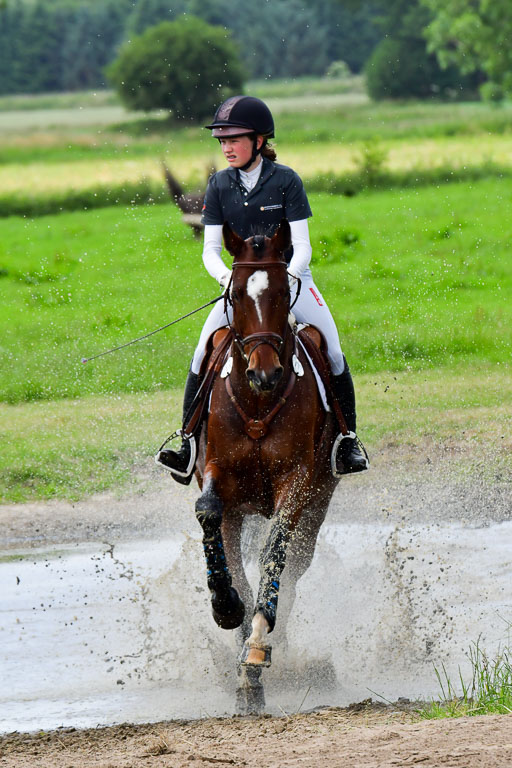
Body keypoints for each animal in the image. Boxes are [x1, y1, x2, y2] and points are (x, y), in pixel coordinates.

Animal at [193, 219, 340, 711]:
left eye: (281, 292)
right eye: (236, 294)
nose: (265, 373)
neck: (257, 404)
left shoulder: (297, 484)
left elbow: (274, 553)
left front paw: (256, 650)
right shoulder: (218, 476)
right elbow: (210, 521)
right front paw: (227, 610)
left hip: (318, 502)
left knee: (293, 568)